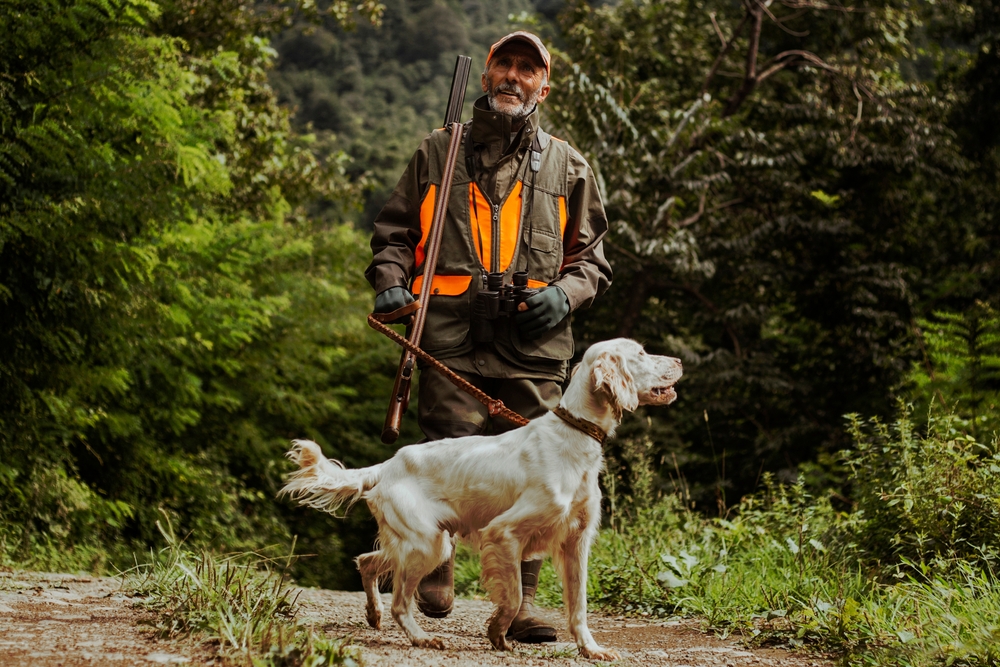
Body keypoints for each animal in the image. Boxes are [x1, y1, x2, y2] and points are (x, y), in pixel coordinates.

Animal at [282, 336, 688, 660]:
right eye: (641, 353)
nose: (680, 362)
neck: (574, 435)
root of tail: (387, 465)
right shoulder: (503, 533)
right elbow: (513, 596)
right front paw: (498, 634)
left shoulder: (576, 541)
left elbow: (578, 607)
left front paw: (591, 650)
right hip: (427, 545)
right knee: (400, 602)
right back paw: (422, 638)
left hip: (426, 543)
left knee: (367, 562)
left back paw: (373, 614)